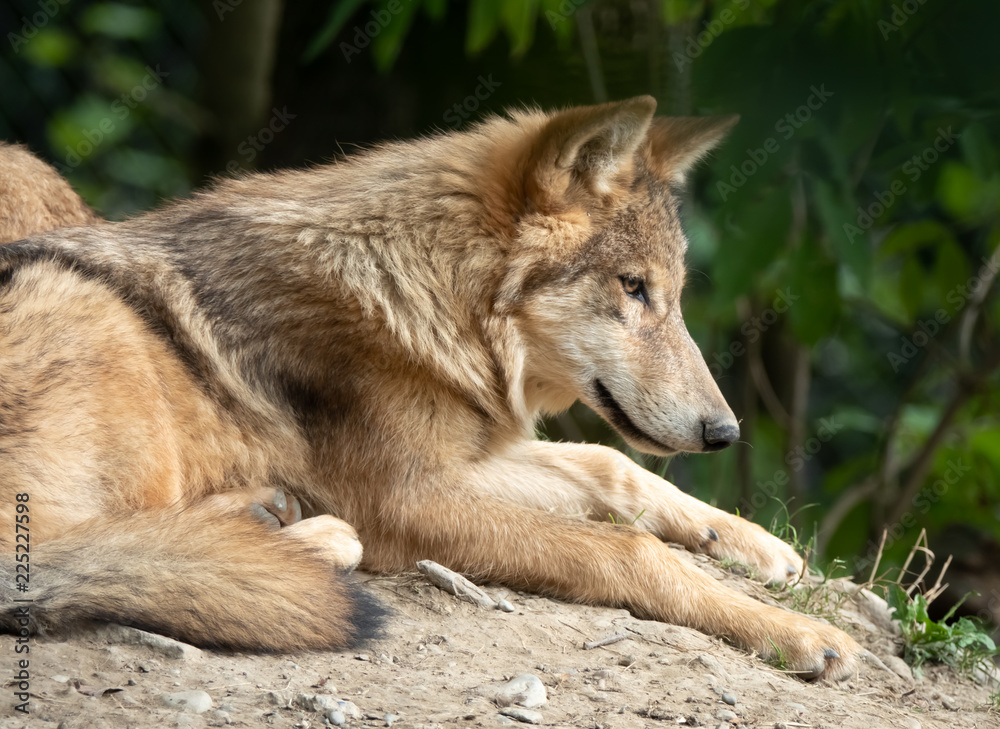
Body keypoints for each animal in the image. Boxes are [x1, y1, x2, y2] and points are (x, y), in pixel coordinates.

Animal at [0, 98, 860, 676]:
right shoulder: (406, 500)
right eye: (632, 287)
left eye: (674, 295)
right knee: (70, 552)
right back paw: (296, 539)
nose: (725, 432)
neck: (426, 299)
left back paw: (268, 518)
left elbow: (610, 468)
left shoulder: (460, 458)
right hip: (94, 317)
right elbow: (627, 549)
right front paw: (801, 633)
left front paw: (756, 544)